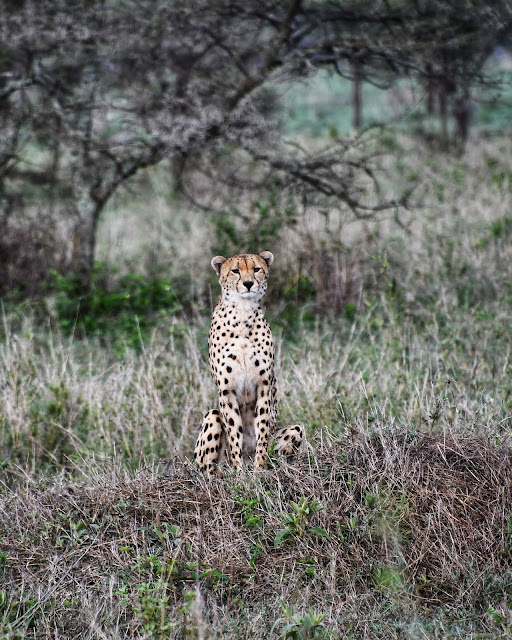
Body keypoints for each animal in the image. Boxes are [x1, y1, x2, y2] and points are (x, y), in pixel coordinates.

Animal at [194, 252, 302, 472]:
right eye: (235, 271)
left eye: (256, 269)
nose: (248, 283)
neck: (242, 313)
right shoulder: (226, 390)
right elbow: (234, 432)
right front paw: (239, 472)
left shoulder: (263, 385)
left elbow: (262, 428)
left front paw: (259, 468)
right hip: (212, 417)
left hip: (295, 429)